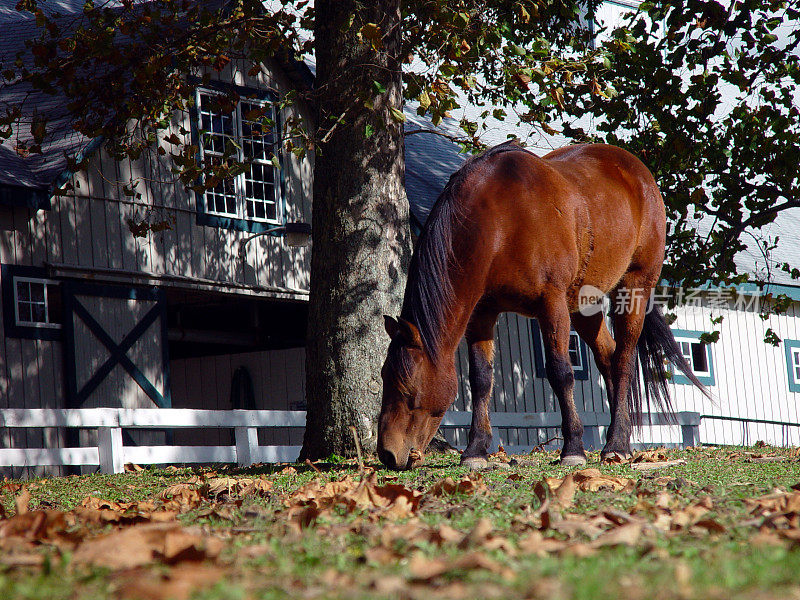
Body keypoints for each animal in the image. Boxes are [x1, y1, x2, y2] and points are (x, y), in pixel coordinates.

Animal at [376, 143, 708, 472]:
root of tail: (636, 170)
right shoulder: (482, 313)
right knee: (608, 356)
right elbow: (481, 379)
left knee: (624, 359)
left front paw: (573, 449)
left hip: (634, 285)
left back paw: (615, 445)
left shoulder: (551, 303)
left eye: (407, 388)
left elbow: (561, 372)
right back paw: (620, 438)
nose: (388, 454)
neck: (501, 221)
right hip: (583, 303)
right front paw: (475, 451)